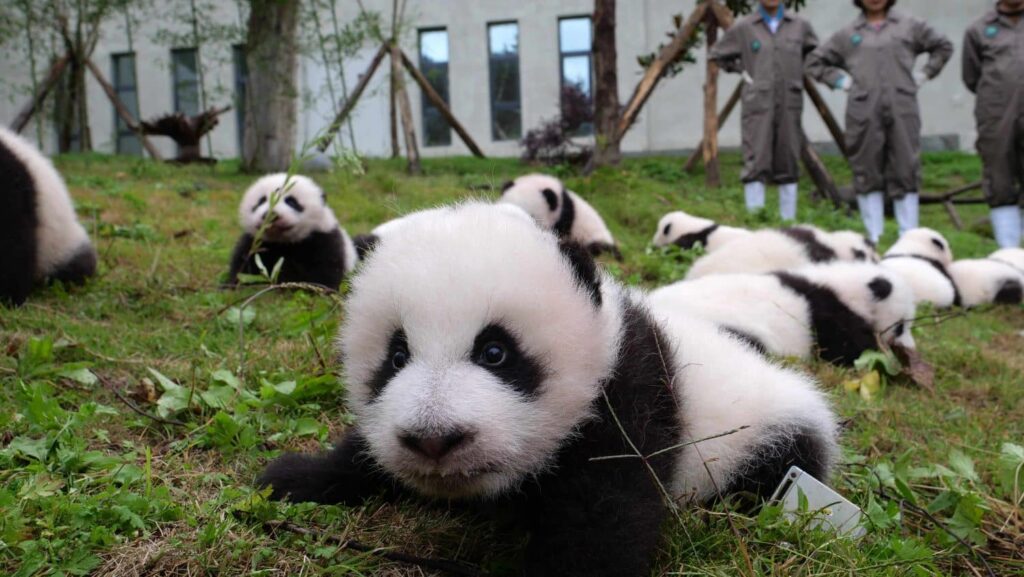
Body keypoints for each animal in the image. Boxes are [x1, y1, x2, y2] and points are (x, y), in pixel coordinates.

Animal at [227, 173, 357, 289]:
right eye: (261, 201)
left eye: (291, 201)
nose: (271, 215)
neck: (282, 242)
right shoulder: (255, 243)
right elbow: (244, 265)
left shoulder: (322, 239)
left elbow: (324, 268)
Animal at [257, 202, 838, 576]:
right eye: (396, 356)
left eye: (495, 352)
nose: (434, 439)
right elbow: (364, 451)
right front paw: (295, 477)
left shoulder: (627, 397)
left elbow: (603, 517)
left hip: (770, 441)